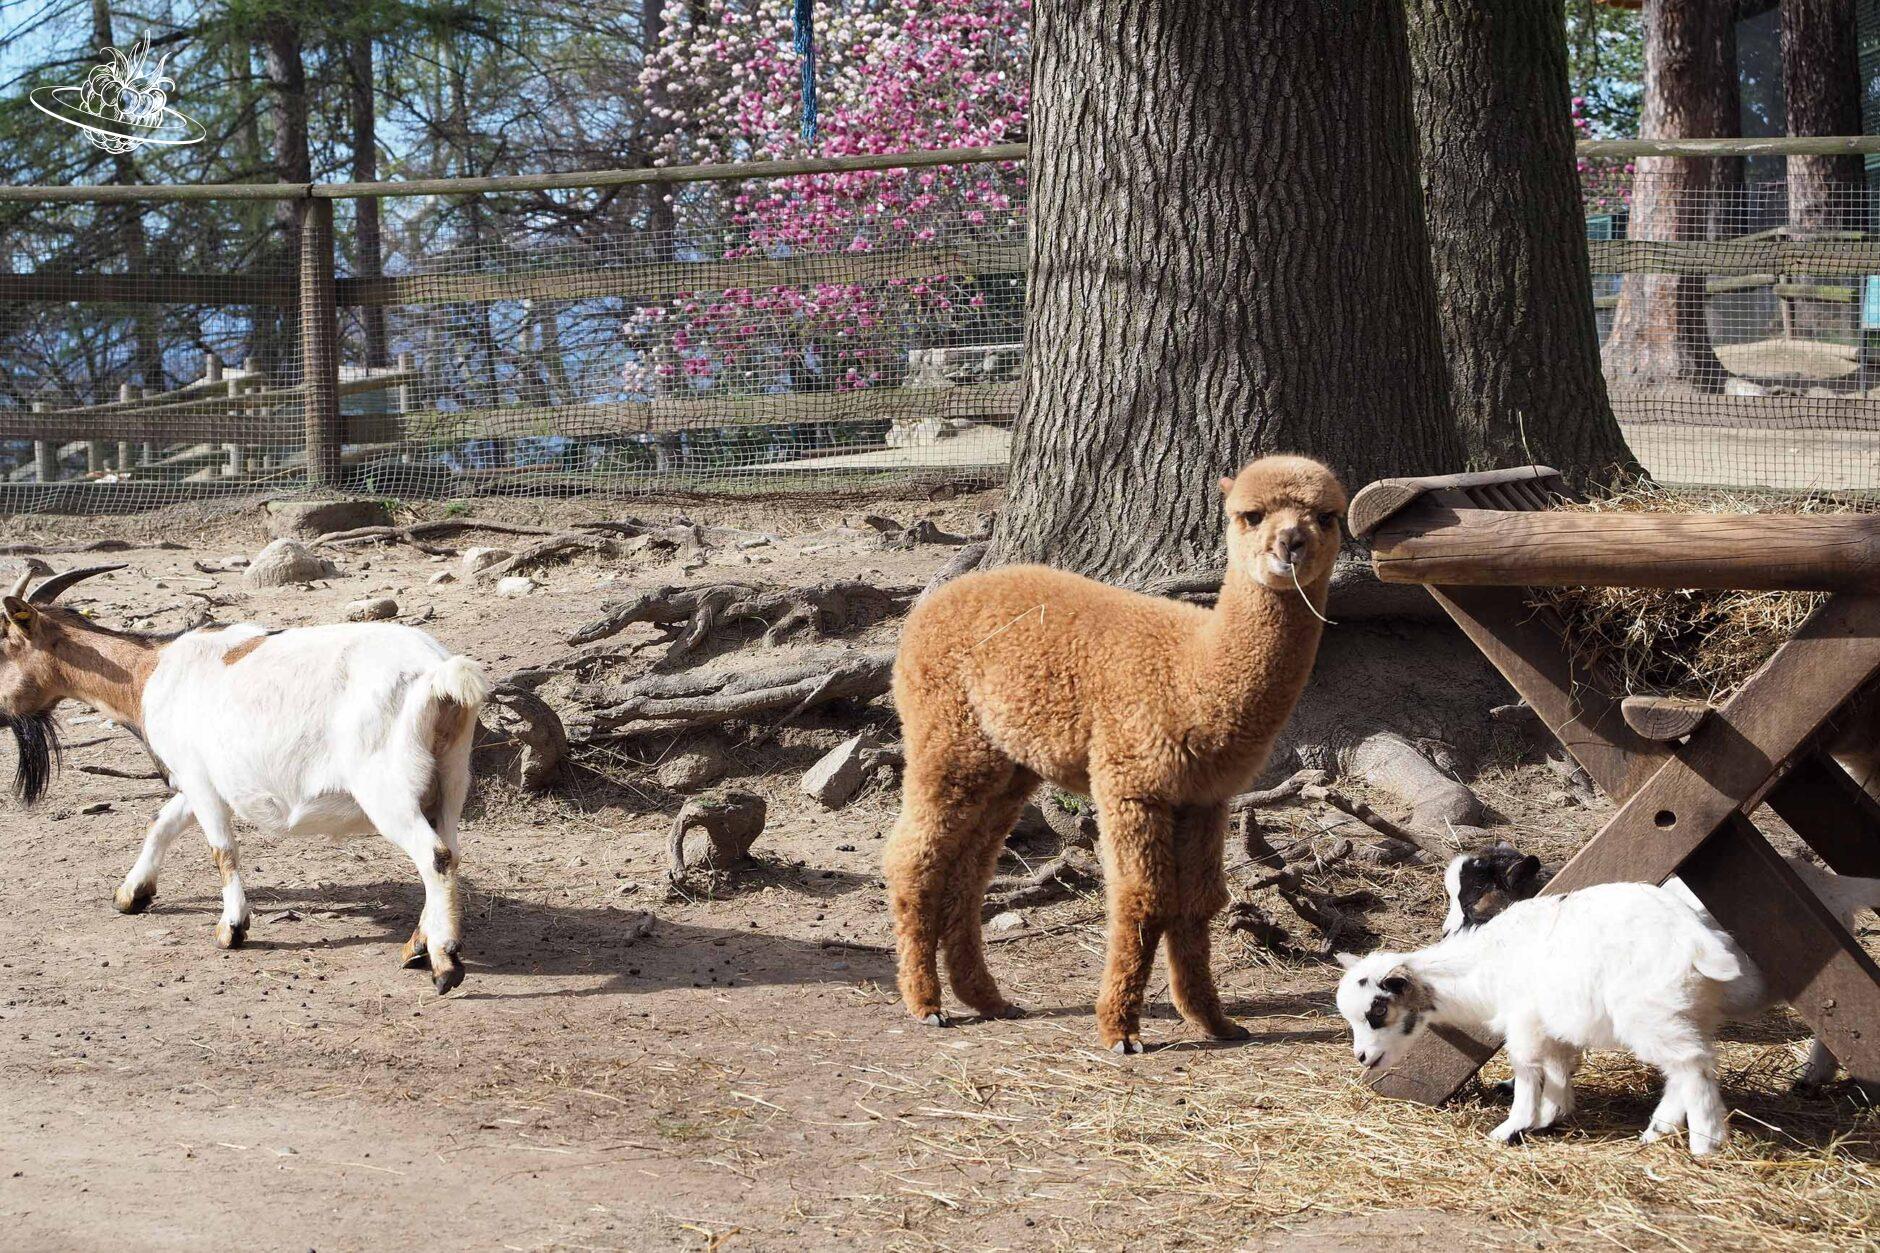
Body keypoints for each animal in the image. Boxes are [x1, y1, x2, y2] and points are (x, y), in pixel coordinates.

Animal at [0, 565, 487, 991]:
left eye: (4, 647)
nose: (2, 714)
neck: (149, 672)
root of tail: (435, 674)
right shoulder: (200, 778)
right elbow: (162, 824)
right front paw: (130, 894)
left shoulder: (199, 779)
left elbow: (222, 850)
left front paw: (231, 928)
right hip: (450, 778)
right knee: (450, 851)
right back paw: (416, 946)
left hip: (387, 787)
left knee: (433, 855)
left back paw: (444, 963)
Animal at [1337, 882, 1756, 1155]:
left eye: (1377, 1010)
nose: (1362, 1057)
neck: (1483, 966)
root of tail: (1698, 939)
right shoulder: (1552, 1029)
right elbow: (1556, 1071)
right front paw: (1549, 1118)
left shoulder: (1524, 1023)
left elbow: (1526, 1069)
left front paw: (1512, 1126)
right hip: (1686, 1011)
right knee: (1685, 1067)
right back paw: (1657, 1131)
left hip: (1651, 1012)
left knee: (1693, 1065)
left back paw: (1705, 1143)